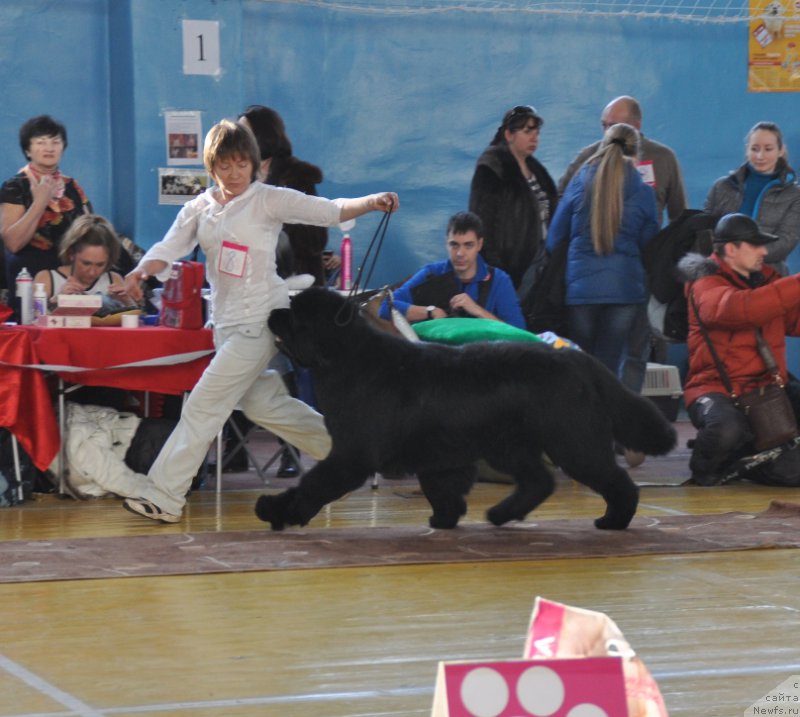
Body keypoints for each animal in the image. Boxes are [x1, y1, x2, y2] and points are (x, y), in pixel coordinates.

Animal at [255, 288, 676, 528]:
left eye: (296, 313)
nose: (272, 313)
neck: (348, 358)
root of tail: (579, 358)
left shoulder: (351, 454)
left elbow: (314, 484)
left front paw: (281, 512)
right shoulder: (436, 457)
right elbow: (441, 489)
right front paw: (444, 520)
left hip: (574, 442)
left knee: (616, 483)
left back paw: (612, 521)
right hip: (510, 446)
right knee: (539, 481)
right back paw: (501, 514)